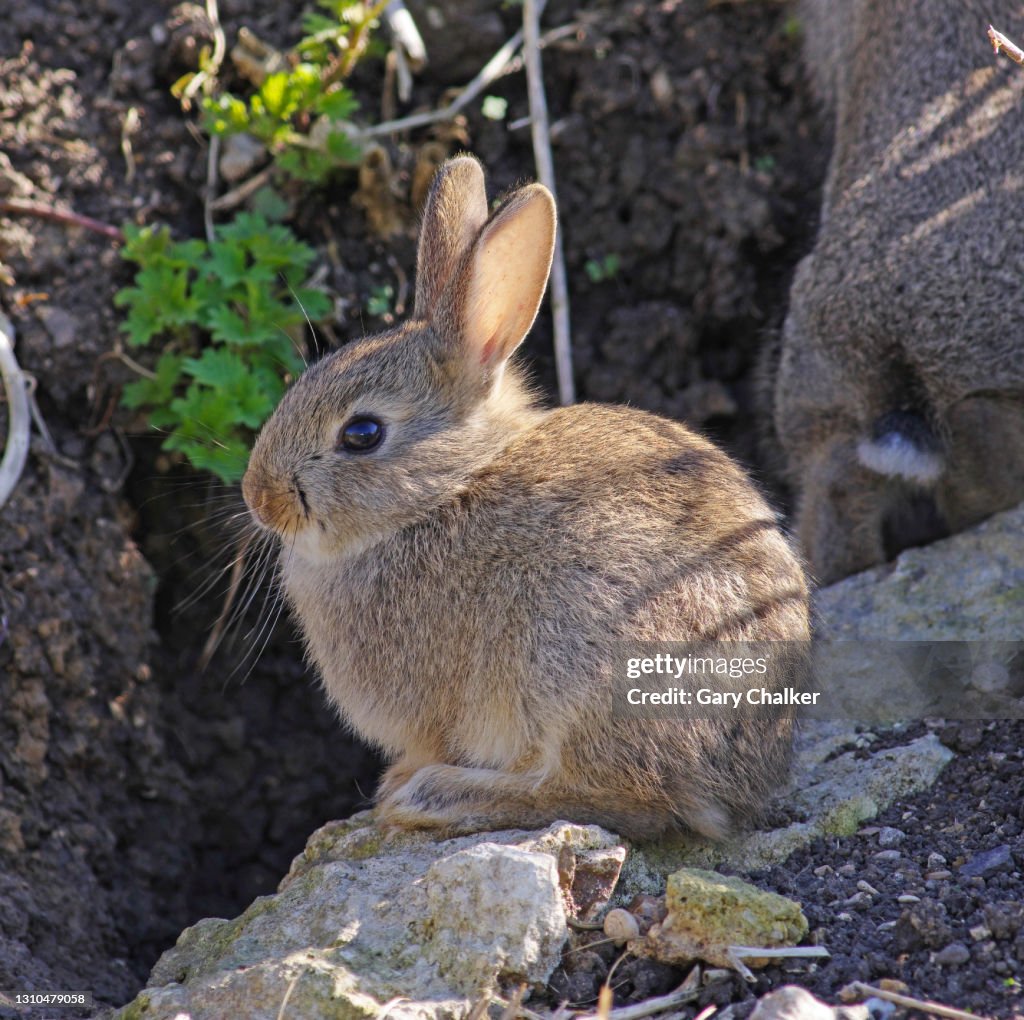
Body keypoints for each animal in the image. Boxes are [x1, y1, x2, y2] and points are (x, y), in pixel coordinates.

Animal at [242, 155, 810, 841]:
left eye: (362, 434)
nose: (260, 498)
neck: (444, 491)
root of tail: (745, 786)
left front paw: (402, 779)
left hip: (576, 659)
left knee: (616, 797)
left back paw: (434, 796)